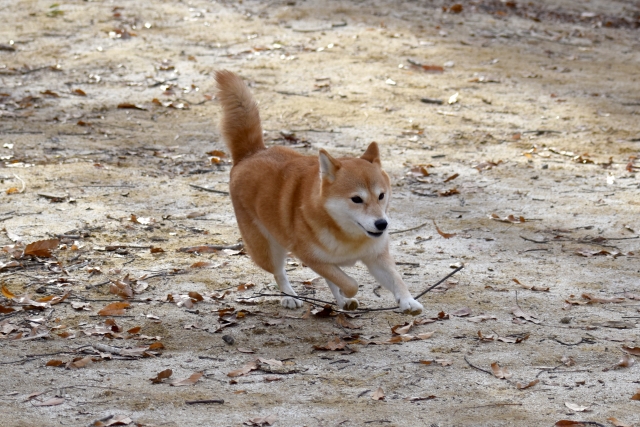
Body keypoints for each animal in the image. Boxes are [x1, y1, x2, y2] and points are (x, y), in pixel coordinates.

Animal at [215, 71, 424, 318]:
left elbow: (395, 279)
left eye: (381, 196)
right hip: (267, 250)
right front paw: (348, 291)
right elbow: (350, 283)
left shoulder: (376, 256)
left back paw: (342, 302)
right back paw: (290, 297)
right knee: (279, 273)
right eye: (356, 199)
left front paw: (407, 301)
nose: (382, 224)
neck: (347, 234)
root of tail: (251, 154)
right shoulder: (310, 257)